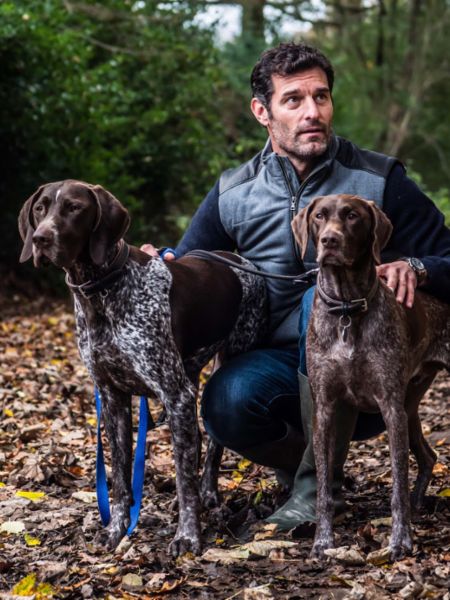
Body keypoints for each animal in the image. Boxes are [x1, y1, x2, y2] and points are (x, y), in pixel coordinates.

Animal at [19, 179, 268, 556]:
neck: (103, 290)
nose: (41, 239)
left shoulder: (175, 395)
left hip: (225, 362)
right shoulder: (113, 398)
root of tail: (239, 259)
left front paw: (188, 536)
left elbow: (183, 480)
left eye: (75, 208)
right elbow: (122, 478)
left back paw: (208, 494)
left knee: (210, 447)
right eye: (40, 208)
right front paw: (117, 530)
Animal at [292, 196, 450, 564]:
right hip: (410, 406)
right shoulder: (325, 408)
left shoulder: (390, 408)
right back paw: (420, 504)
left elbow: (397, 487)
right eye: (319, 216)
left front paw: (401, 540)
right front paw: (322, 542)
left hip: (403, 409)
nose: (329, 241)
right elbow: (323, 487)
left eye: (352, 216)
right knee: (428, 457)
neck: (347, 307)